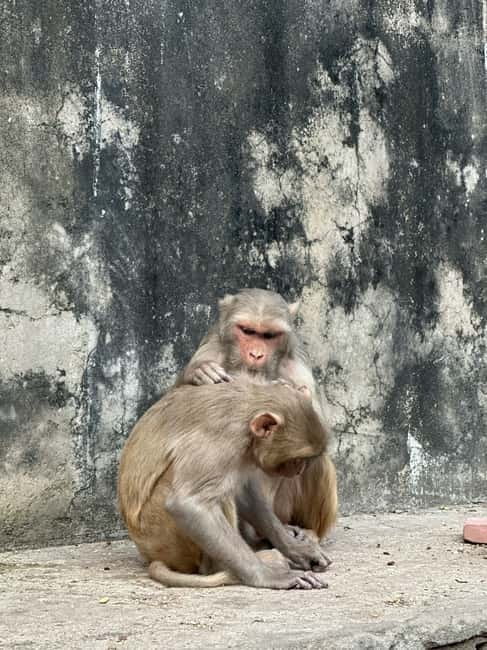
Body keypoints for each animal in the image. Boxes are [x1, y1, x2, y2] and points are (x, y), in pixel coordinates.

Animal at [117, 377, 331, 589]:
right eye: (297, 460)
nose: (299, 470)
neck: (245, 413)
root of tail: (148, 554)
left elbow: (243, 491)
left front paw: (296, 548)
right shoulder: (220, 442)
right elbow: (188, 504)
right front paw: (266, 575)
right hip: (164, 538)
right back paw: (228, 567)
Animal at [175, 288, 338, 543]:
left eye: (269, 335)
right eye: (248, 331)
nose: (256, 354)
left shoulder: (296, 363)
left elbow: (321, 429)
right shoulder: (211, 350)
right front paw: (198, 373)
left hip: (281, 509)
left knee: (316, 458)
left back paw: (308, 532)